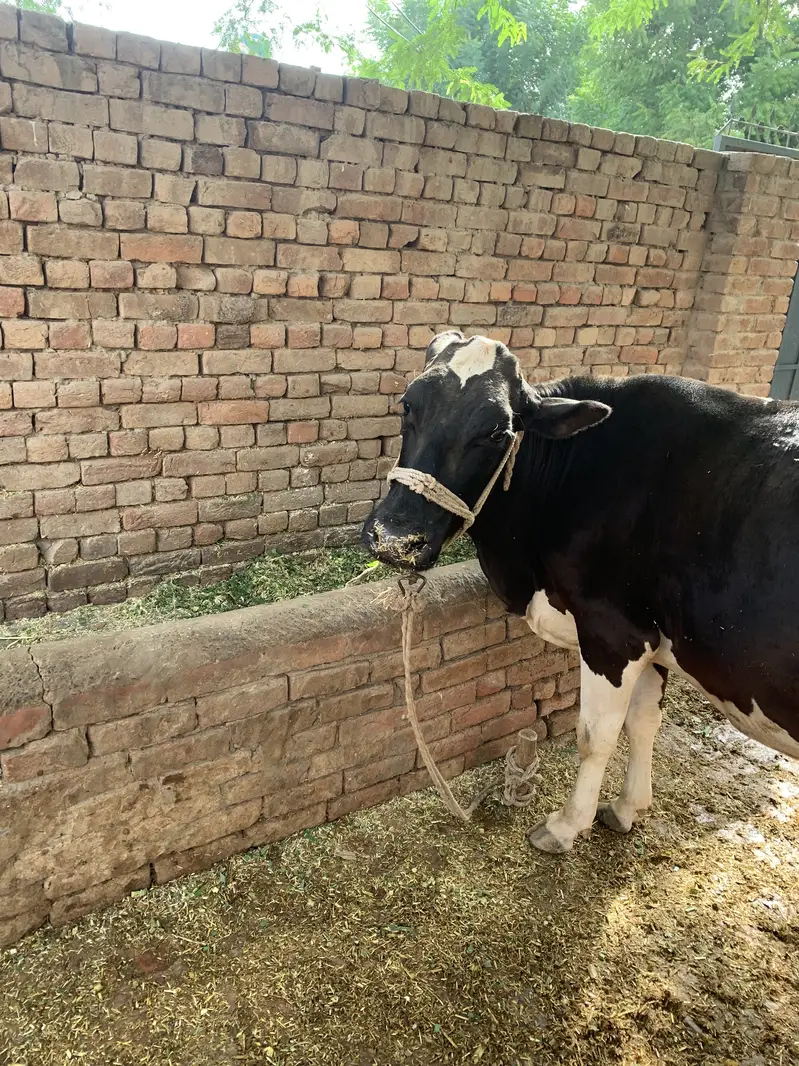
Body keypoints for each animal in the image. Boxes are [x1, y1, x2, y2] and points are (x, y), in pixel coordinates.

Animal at [363, 329, 799, 854]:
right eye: (407, 405)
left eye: (498, 432)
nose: (396, 537)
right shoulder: (652, 635)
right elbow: (644, 720)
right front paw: (629, 807)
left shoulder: (614, 632)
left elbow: (596, 736)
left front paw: (567, 826)